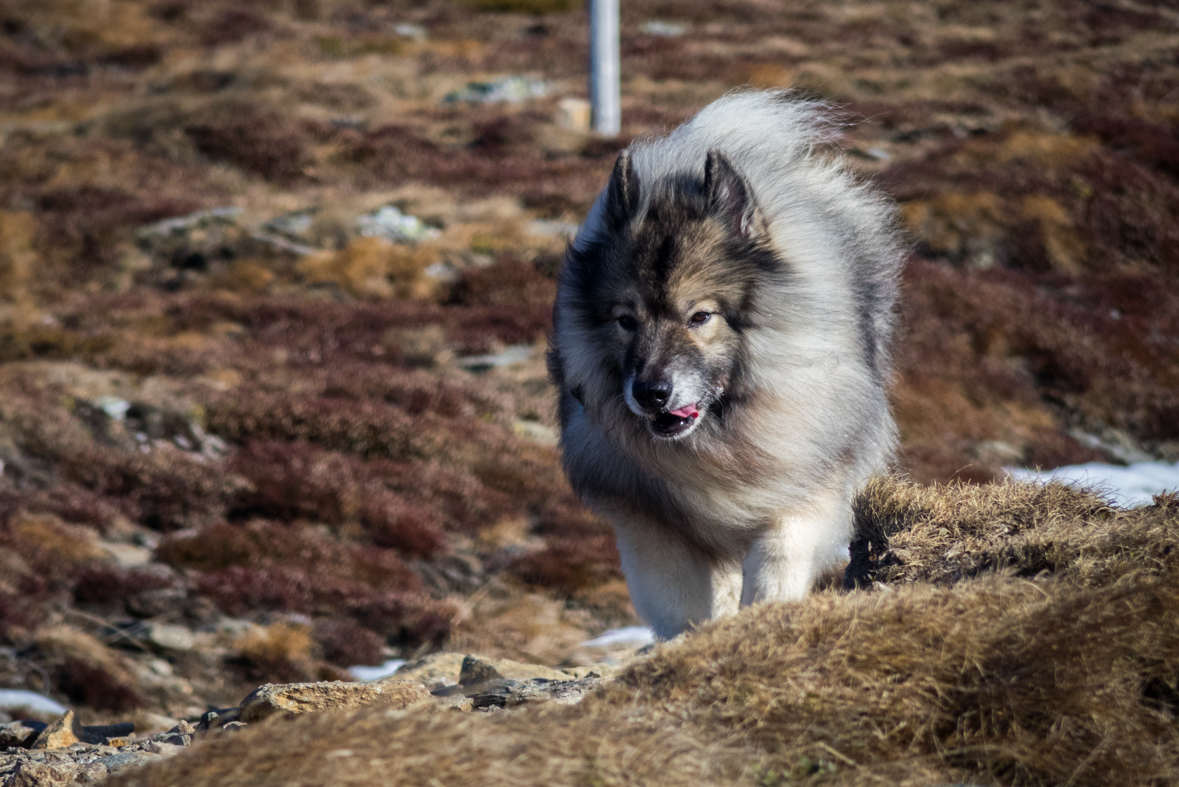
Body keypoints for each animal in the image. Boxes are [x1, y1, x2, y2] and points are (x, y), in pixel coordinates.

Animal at [547, 90, 905, 640]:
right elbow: (682, 604)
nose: (651, 393)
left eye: (701, 316)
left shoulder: (802, 490)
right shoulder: (654, 526)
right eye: (626, 320)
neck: (718, 444)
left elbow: (777, 558)